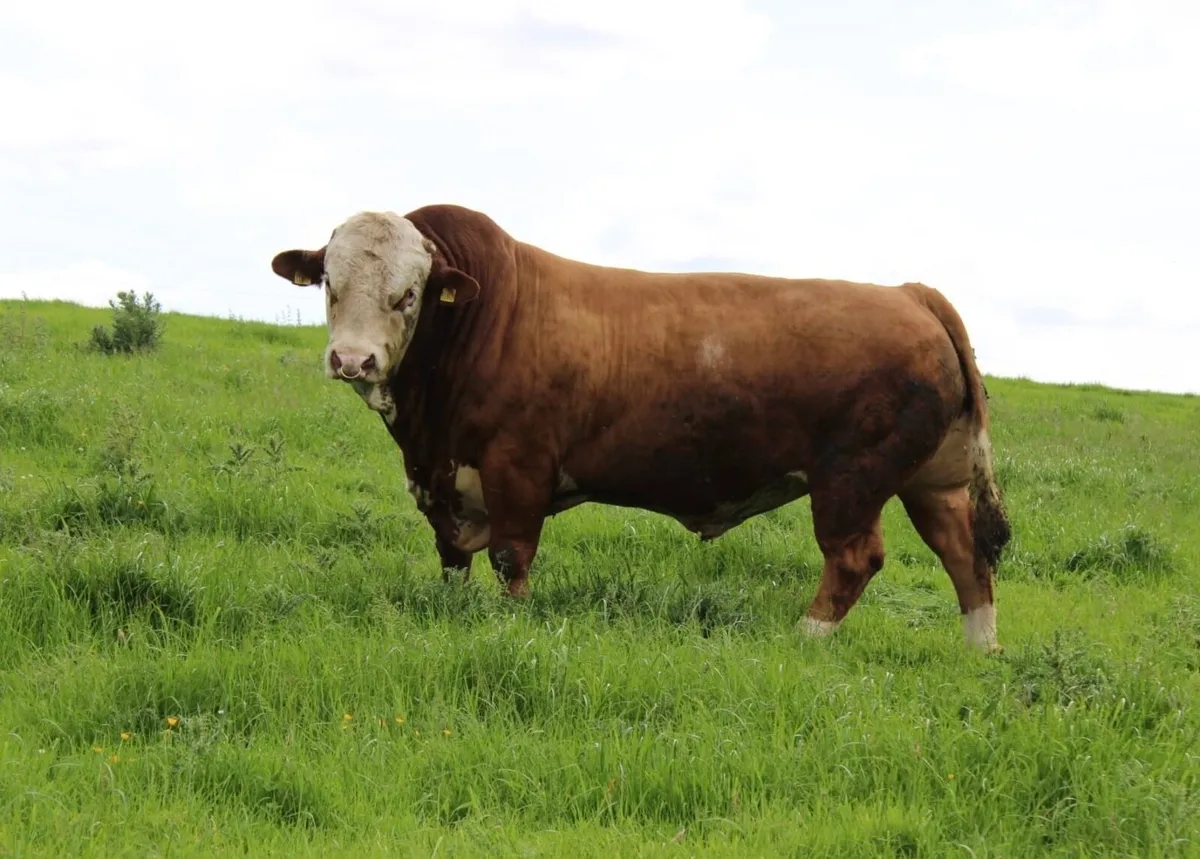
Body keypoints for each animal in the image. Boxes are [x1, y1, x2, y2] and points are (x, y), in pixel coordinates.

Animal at [271, 203, 1011, 652]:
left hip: (852, 479)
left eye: (408, 294)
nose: (353, 359)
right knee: (966, 554)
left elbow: (512, 557)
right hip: (930, 481)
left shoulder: (518, 465)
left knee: (856, 559)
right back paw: (980, 650)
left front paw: (512, 623)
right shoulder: (442, 482)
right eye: (330, 283)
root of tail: (909, 293)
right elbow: (453, 559)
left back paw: (805, 636)